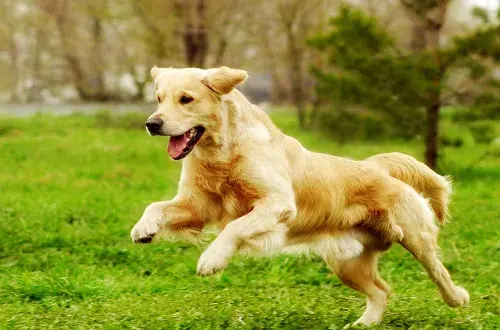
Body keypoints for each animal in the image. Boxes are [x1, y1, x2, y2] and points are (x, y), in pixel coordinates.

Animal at [132, 65, 468, 326]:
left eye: (186, 99)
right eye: (159, 98)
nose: (152, 123)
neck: (222, 153)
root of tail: (375, 166)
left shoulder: (277, 204)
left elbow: (235, 227)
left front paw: (212, 259)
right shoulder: (198, 205)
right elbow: (156, 206)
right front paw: (143, 228)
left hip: (415, 238)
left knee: (438, 273)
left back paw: (458, 298)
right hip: (346, 263)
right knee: (381, 291)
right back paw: (363, 323)